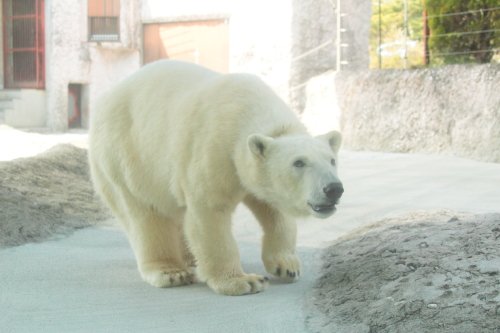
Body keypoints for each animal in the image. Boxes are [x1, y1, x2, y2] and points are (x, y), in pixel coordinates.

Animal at [88, 60, 342, 296]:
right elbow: (210, 212)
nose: (333, 188)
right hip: (127, 157)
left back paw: (190, 258)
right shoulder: (215, 147)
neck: (248, 109)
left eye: (331, 160)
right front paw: (243, 281)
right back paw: (171, 271)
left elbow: (273, 210)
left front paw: (287, 266)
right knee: (147, 213)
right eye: (299, 162)